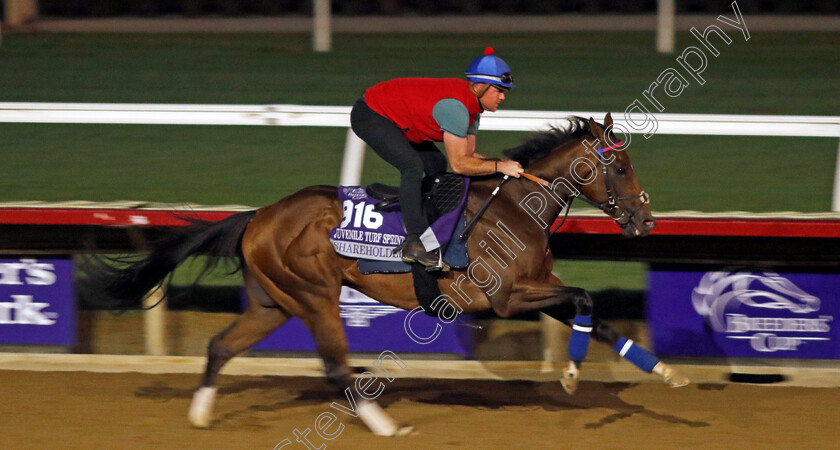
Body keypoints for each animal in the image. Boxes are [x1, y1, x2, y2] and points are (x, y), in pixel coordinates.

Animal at [92, 113, 684, 436]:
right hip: (314, 296)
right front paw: (571, 374)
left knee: (220, 346)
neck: (517, 208)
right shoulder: (506, 297)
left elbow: (594, 312)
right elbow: (584, 297)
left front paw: (666, 372)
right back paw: (386, 425)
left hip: (272, 302)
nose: (648, 220)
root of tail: (258, 216)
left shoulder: (537, 290)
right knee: (335, 367)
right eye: (621, 167)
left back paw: (199, 417)